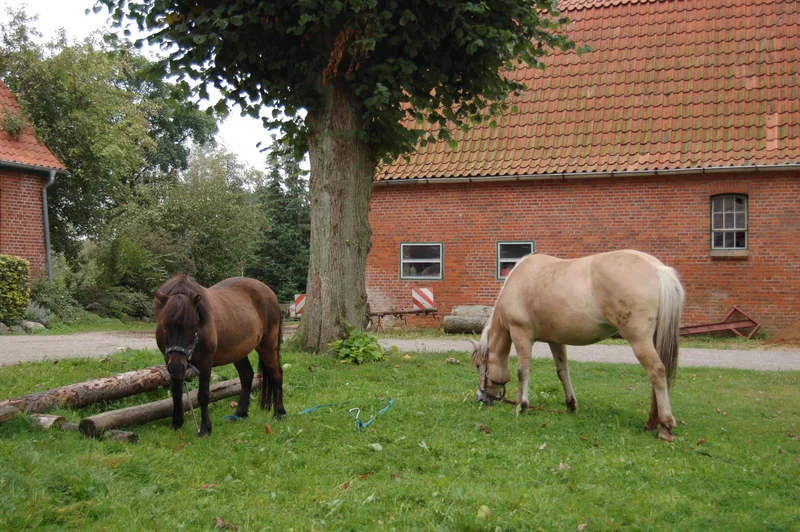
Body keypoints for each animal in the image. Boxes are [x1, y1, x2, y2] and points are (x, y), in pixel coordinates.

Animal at [153, 274, 286, 437]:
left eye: (193, 325)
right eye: (165, 325)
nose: (177, 367)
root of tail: (269, 291)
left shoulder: (205, 362)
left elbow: (203, 395)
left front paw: (205, 428)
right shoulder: (169, 361)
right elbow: (176, 393)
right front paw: (176, 424)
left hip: (267, 346)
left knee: (277, 374)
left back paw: (279, 413)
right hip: (238, 352)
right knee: (247, 376)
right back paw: (239, 414)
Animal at [470, 250, 684, 442]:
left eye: (480, 366)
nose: (480, 398)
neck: (517, 281)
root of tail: (656, 268)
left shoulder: (521, 334)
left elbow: (523, 371)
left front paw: (521, 406)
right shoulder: (555, 340)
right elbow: (562, 371)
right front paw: (571, 405)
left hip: (639, 339)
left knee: (657, 371)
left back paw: (665, 426)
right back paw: (651, 422)